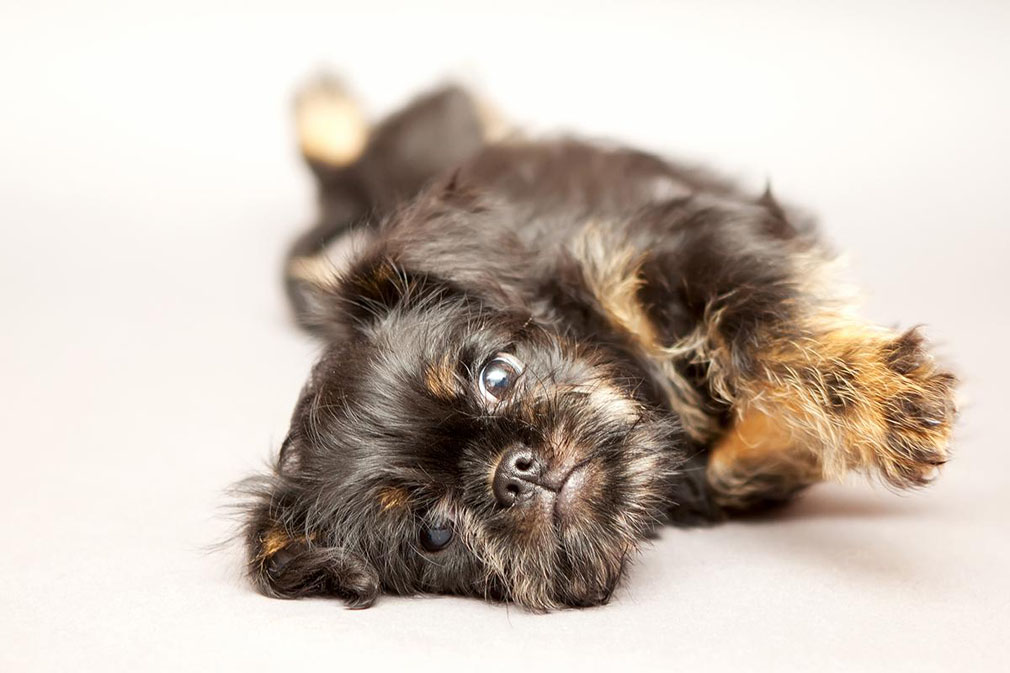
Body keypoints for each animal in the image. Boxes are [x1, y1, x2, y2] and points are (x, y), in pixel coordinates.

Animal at [240, 78, 957, 606]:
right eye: (434, 534)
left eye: (497, 376)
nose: (516, 471)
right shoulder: (739, 473)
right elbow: (744, 442)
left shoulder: (693, 235)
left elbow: (764, 331)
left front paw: (887, 402)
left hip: (420, 138)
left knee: (373, 139)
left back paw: (326, 113)